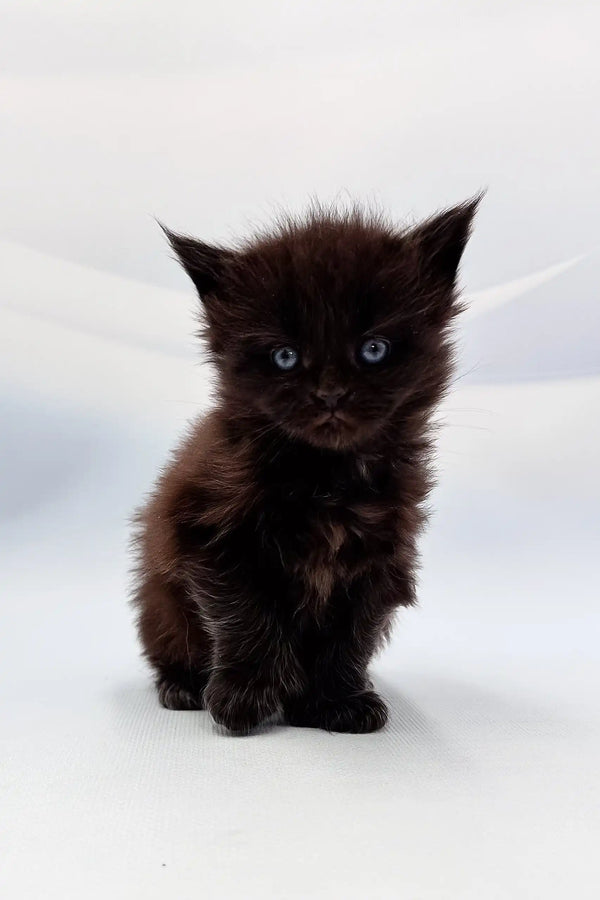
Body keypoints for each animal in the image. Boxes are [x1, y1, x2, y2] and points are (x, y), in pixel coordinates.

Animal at [131, 197, 478, 732]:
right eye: (285, 357)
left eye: (373, 349)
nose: (330, 394)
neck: (328, 478)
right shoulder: (209, 535)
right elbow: (246, 617)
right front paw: (246, 696)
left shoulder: (380, 558)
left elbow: (349, 637)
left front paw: (337, 701)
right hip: (160, 608)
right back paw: (182, 687)